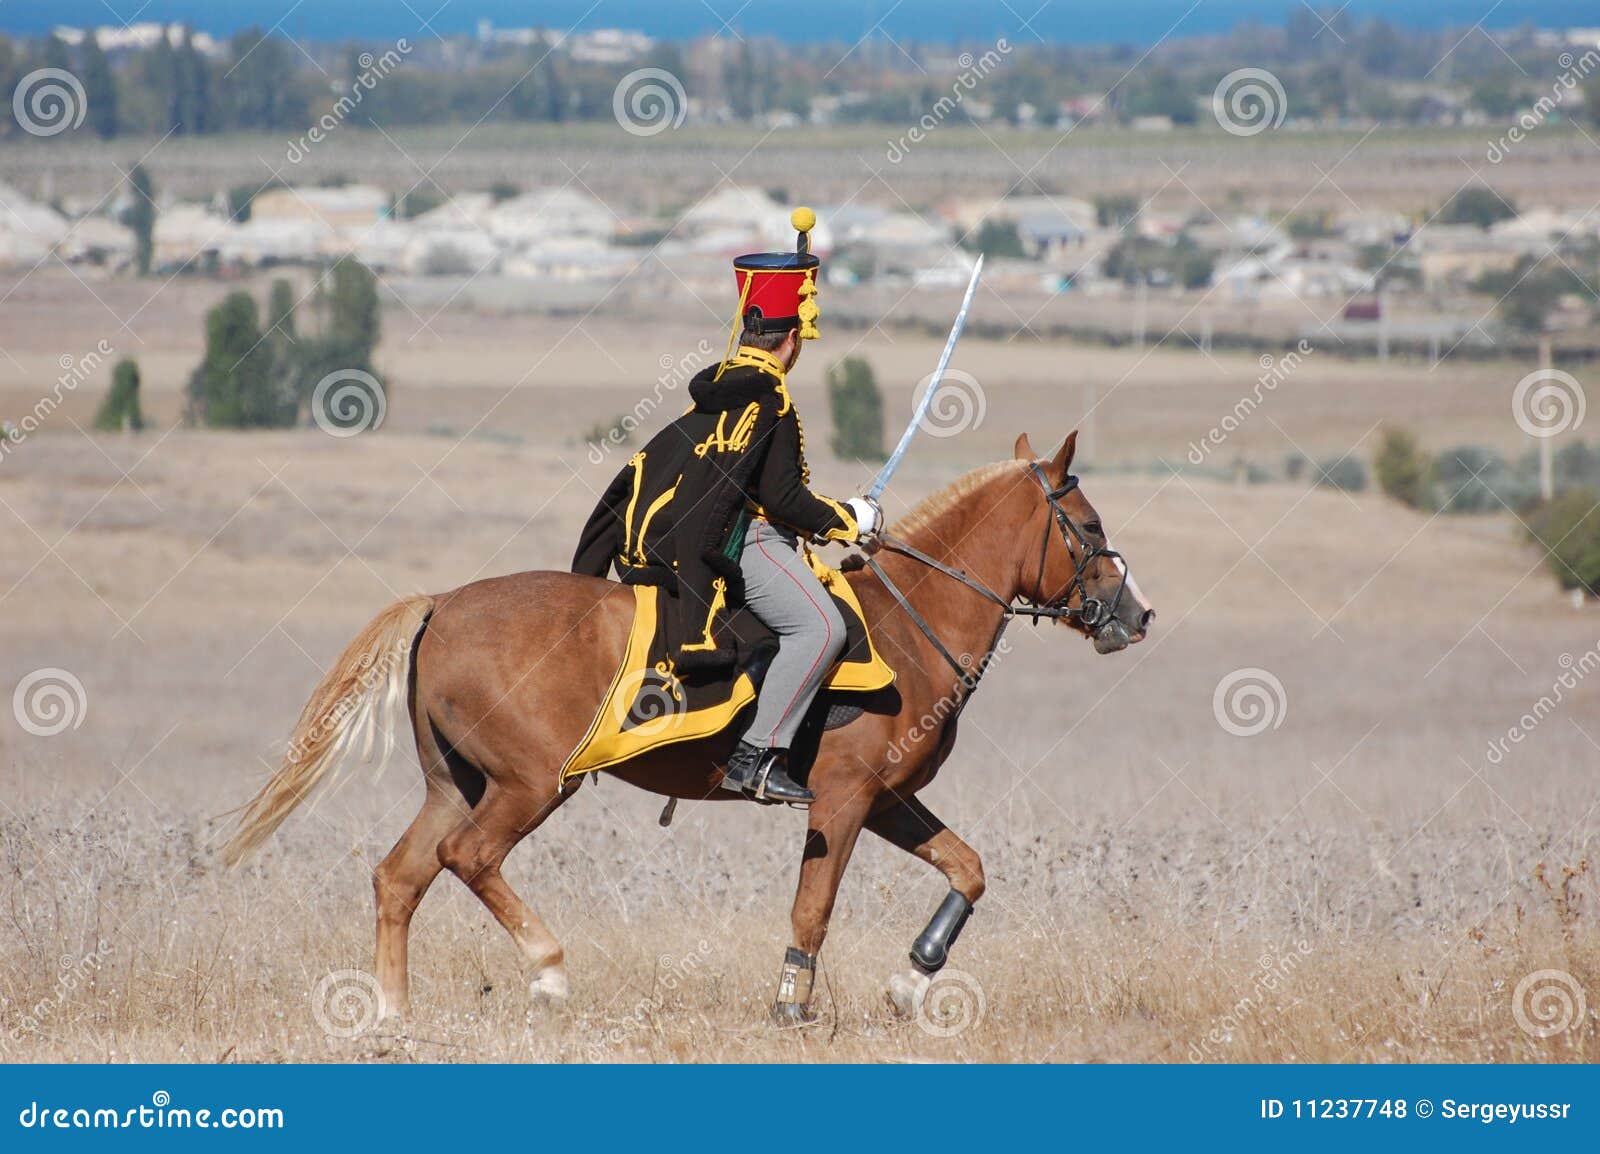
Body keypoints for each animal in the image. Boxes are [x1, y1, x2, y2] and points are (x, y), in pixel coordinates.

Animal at [222, 429, 1153, 1024]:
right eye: (1090, 527)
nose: (1136, 615)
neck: (908, 620)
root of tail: (442, 603)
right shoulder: (841, 803)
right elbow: (812, 911)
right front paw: (791, 1009)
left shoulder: (886, 800)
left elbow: (968, 869)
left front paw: (912, 981)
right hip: (532, 785)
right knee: (467, 858)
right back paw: (548, 974)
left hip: (457, 783)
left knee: (400, 877)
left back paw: (391, 1014)